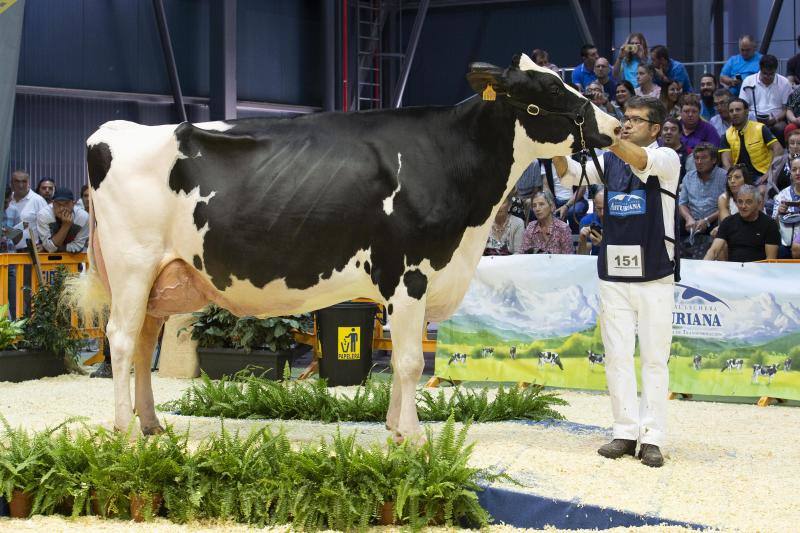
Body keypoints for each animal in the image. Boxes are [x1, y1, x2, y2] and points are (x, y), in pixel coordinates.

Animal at [68, 53, 617, 441]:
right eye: (549, 87)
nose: (612, 126)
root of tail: (113, 130)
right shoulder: (408, 275)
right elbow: (410, 361)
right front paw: (413, 436)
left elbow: (400, 362)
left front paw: (395, 429)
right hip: (133, 265)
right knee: (121, 339)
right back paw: (124, 432)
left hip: (161, 277)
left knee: (143, 343)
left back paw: (150, 425)